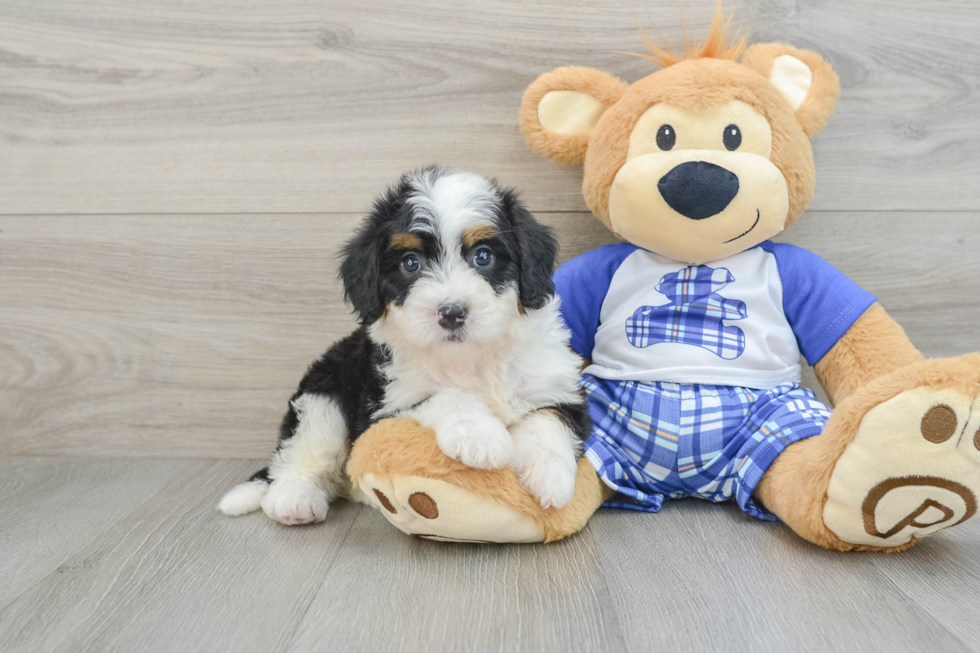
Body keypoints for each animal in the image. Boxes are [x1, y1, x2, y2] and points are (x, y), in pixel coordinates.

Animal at [220, 167, 588, 524]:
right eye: (410, 263)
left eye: (483, 257)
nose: (451, 313)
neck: (470, 357)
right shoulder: (385, 404)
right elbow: (443, 395)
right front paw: (478, 435)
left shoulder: (555, 383)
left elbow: (549, 418)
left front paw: (551, 475)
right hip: (322, 394)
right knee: (304, 450)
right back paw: (294, 499)